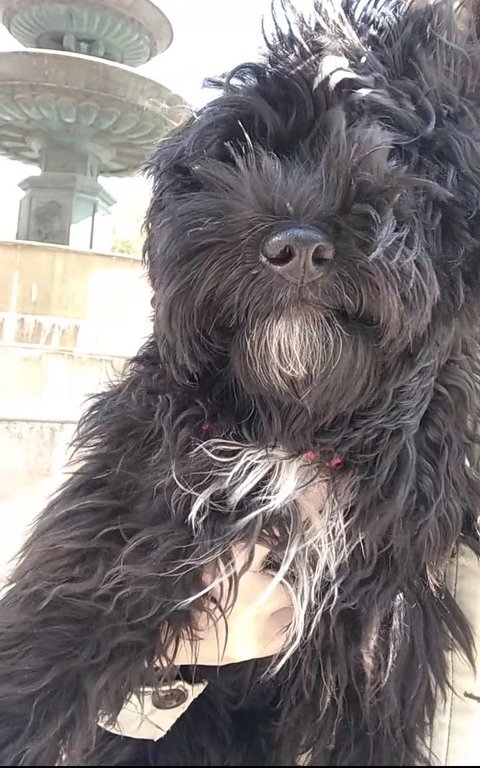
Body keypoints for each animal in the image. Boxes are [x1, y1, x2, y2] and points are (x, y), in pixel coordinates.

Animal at [1, 0, 480, 764]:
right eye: (241, 148)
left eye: (393, 154)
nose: (299, 246)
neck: (289, 434)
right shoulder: (106, 544)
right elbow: (40, 660)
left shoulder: (380, 639)